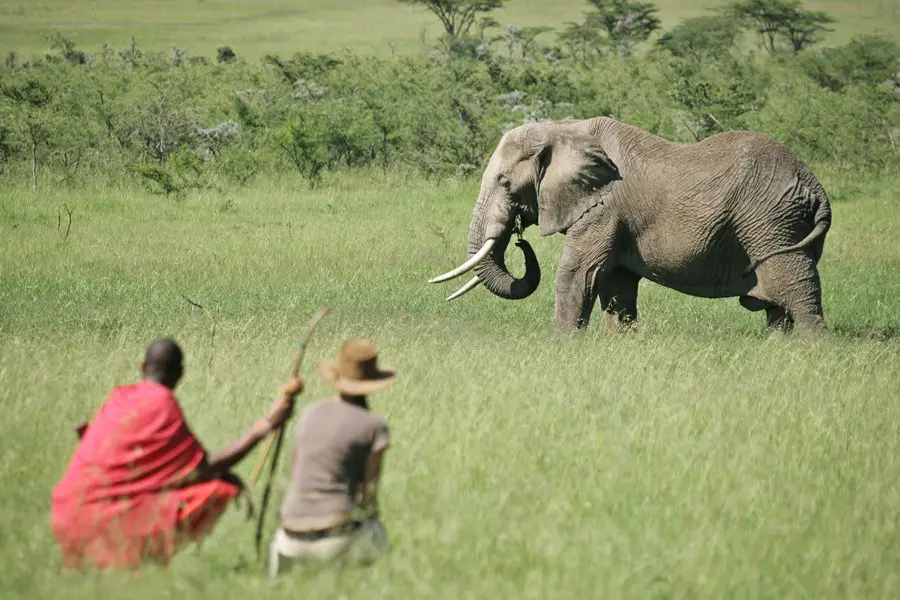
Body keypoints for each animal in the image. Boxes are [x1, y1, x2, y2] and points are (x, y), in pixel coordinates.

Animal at [428, 116, 828, 332]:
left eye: (505, 184)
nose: (519, 239)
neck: (563, 129)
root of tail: (815, 185)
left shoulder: (603, 208)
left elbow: (576, 273)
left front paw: (561, 345)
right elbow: (616, 284)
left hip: (773, 223)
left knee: (797, 294)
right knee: (779, 307)